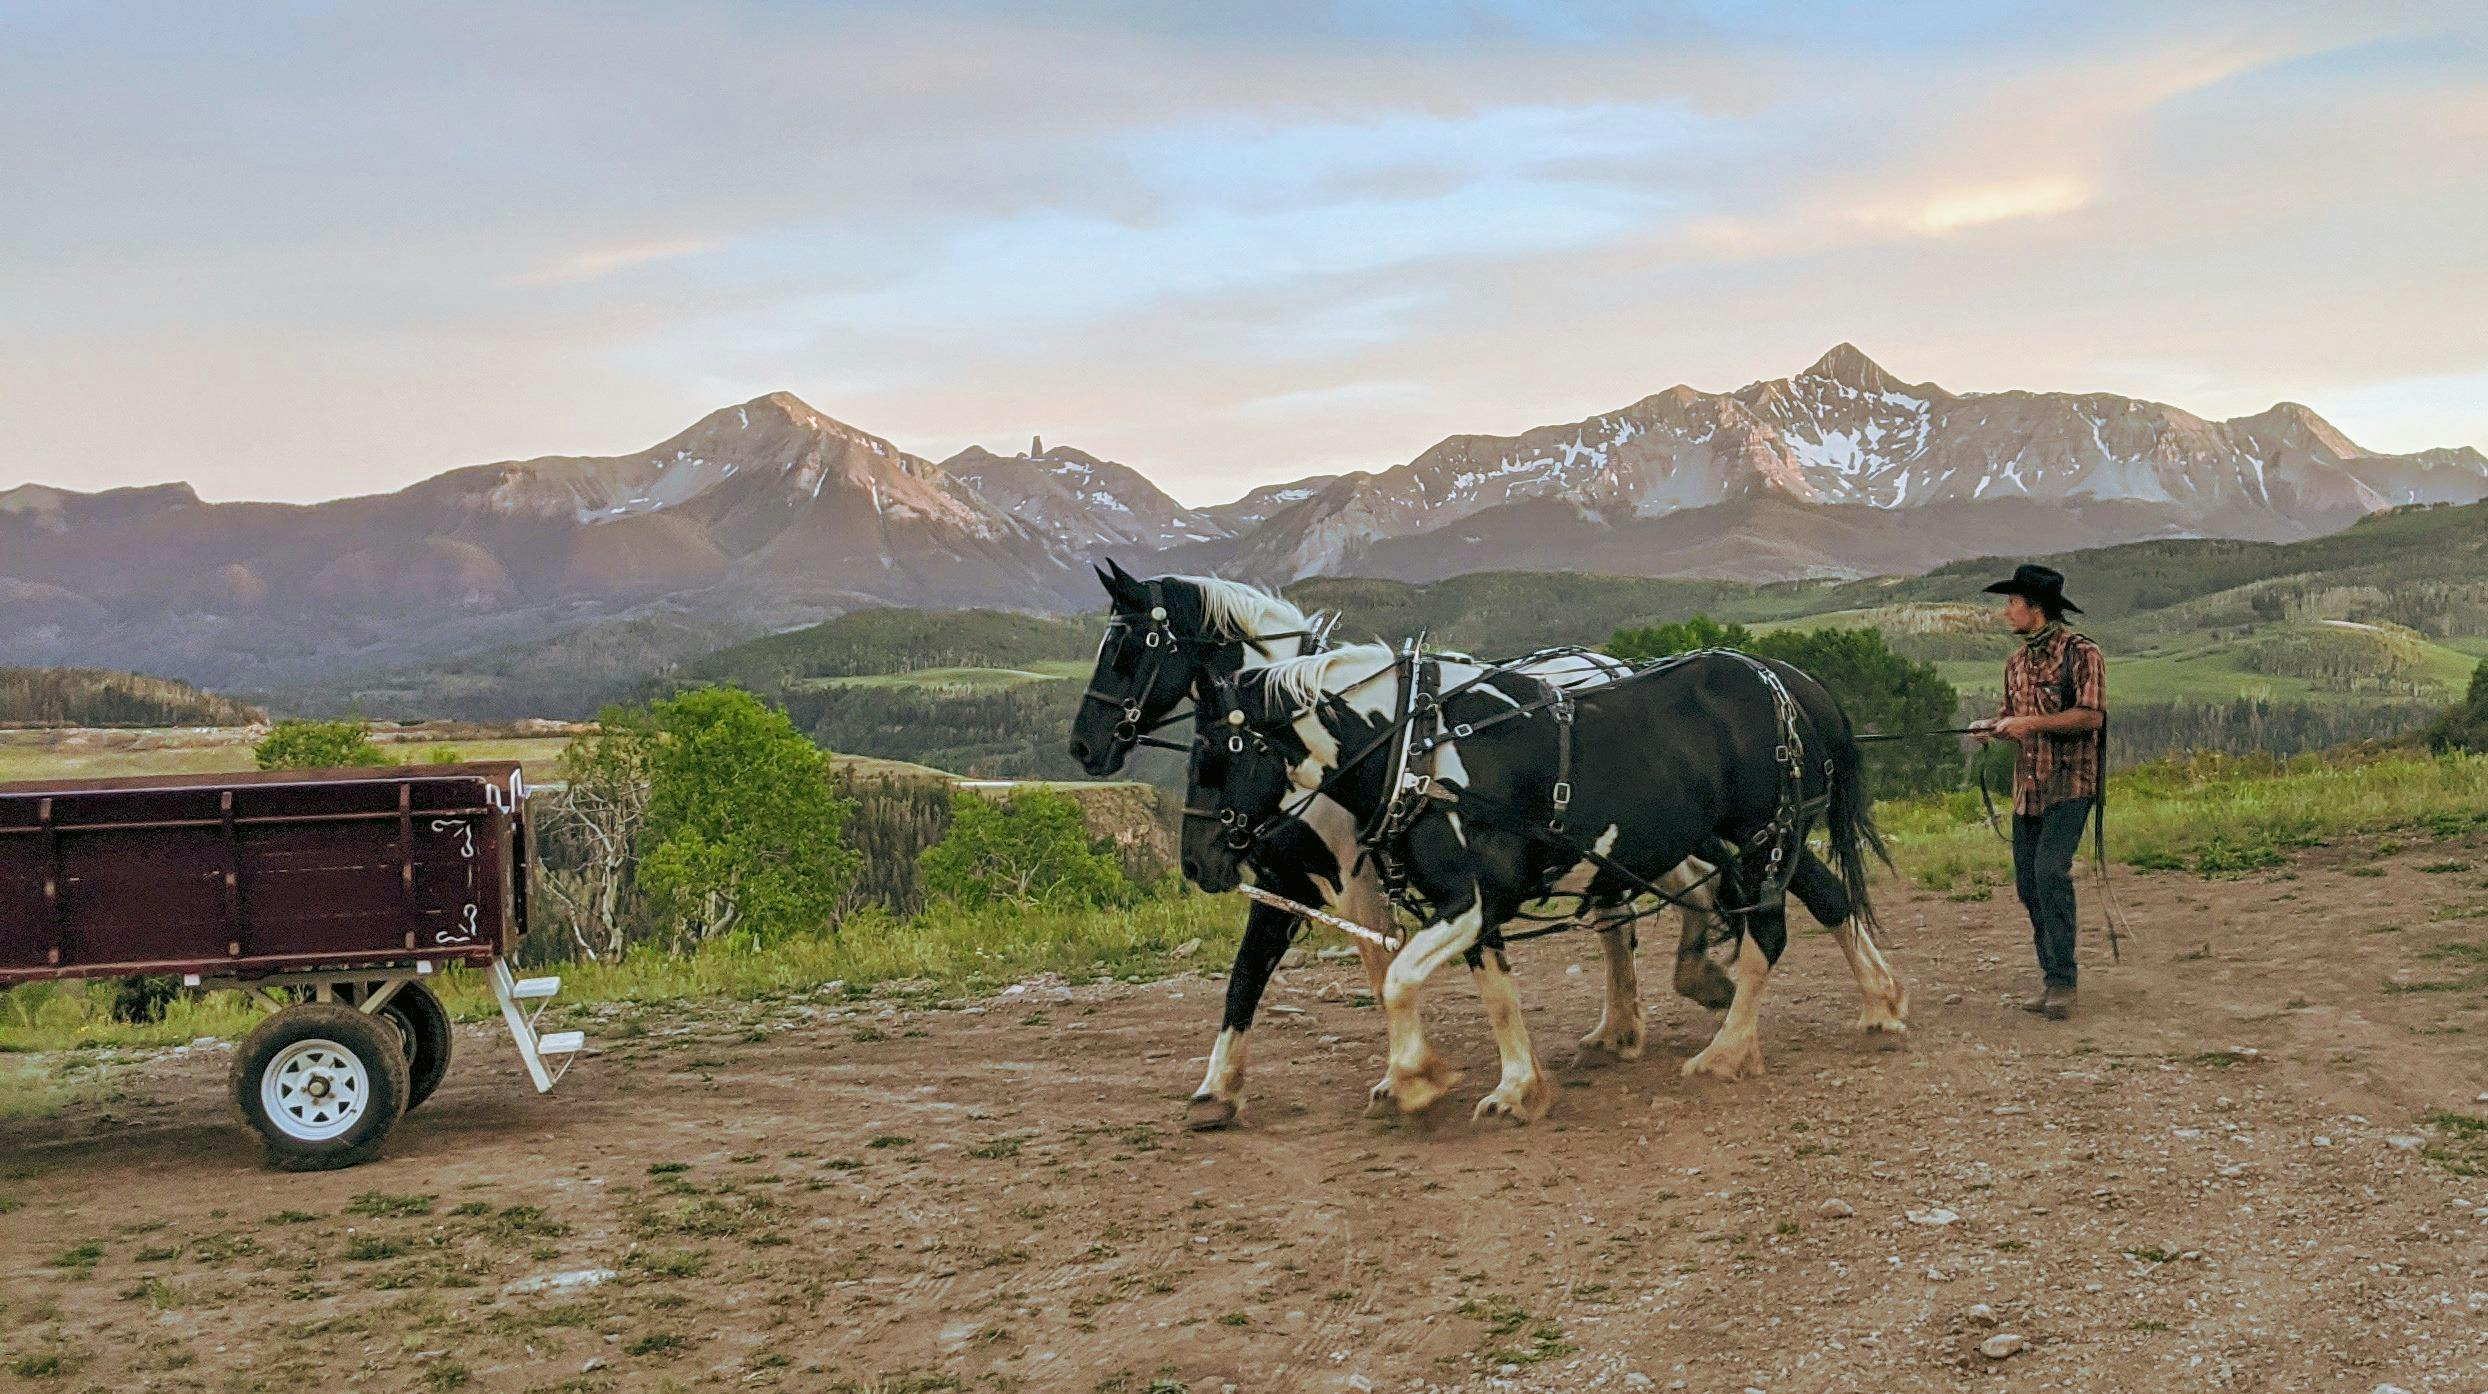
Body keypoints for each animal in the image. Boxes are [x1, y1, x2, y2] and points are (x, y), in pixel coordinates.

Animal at [1179, 647, 1900, 1120]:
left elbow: (1400, 980)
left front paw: (1416, 1078)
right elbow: (1494, 993)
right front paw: (1516, 1087)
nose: (1195, 863)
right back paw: (1882, 1005)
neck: (1414, 749)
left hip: (1764, 836)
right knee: (1827, 899)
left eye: (1216, 755)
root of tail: (1794, 684)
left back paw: (1725, 1053)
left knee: (1767, 934)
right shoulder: (1471, 903)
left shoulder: (1470, 899)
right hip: (1764, 840)